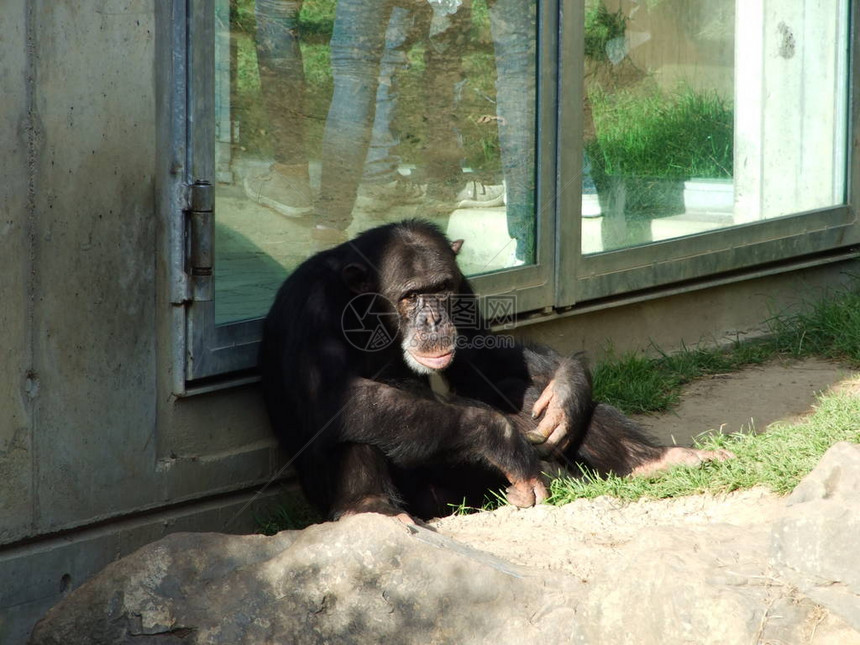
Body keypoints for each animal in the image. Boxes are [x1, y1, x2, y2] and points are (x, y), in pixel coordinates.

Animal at [256, 219, 732, 520]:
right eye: (410, 296)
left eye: (441, 289)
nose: (434, 319)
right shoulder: (312, 308)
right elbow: (329, 397)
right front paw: (499, 438)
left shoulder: (464, 286)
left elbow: (482, 353)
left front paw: (569, 386)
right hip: (434, 498)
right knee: (357, 415)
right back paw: (373, 510)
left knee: (514, 388)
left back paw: (657, 460)